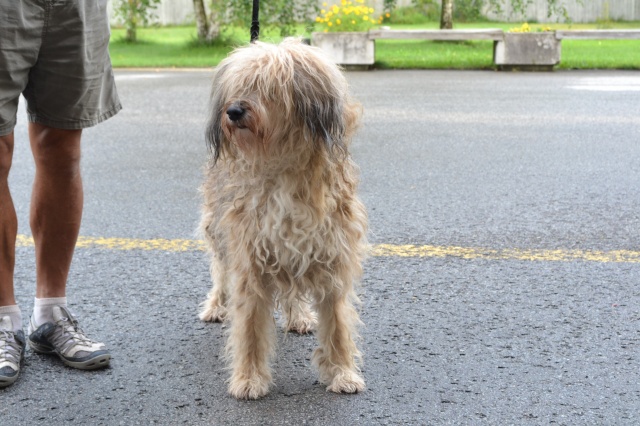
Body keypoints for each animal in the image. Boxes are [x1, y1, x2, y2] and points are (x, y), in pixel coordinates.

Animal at [198, 38, 368, 400]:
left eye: (270, 88)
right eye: (241, 85)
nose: (233, 111)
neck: (283, 166)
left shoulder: (332, 255)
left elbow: (338, 325)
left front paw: (342, 372)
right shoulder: (249, 259)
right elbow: (249, 327)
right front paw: (249, 378)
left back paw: (298, 315)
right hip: (218, 232)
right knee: (220, 272)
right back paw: (216, 306)